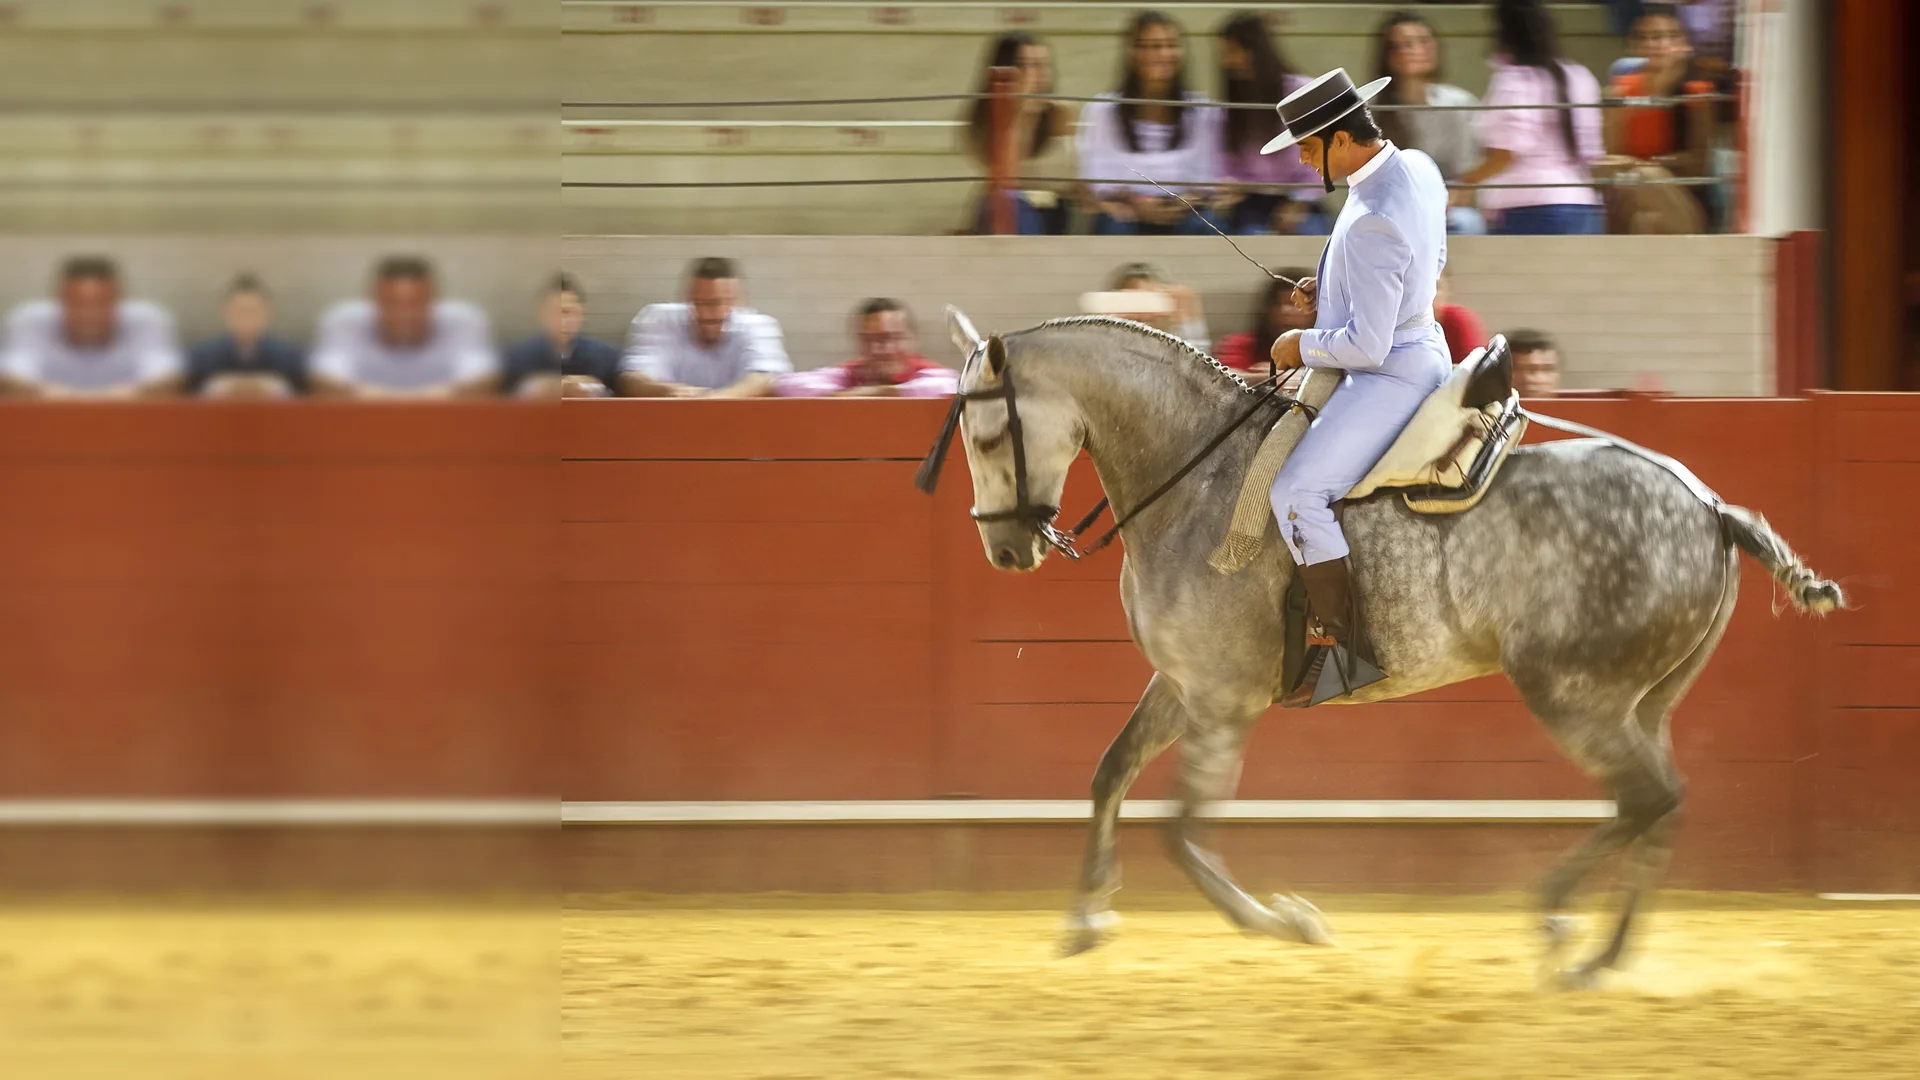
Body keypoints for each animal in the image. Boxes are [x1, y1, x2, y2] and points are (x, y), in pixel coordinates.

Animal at [919, 309, 1843, 986]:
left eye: (988, 437)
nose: (1006, 550)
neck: (1196, 474)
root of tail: (1711, 508)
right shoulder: (1179, 685)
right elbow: (1110, 773)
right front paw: (1086, 913)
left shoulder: (1221, 701)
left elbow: (1181, 830)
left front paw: (1288, 923)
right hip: (1642, 702)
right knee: (1658, 803)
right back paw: (1598, 951)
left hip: (1573, 695)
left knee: (1646, 797)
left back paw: (1562, 925)